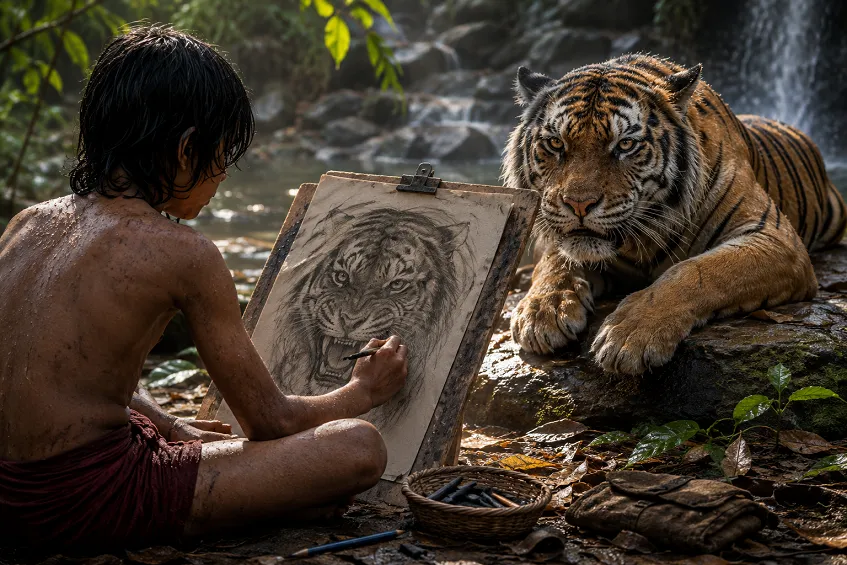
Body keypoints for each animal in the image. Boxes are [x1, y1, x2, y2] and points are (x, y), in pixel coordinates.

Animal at [502, 53, 847, 376]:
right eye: (555, 143)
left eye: (625, 145)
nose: (578, 204)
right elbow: (553, 260)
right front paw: (543, 310)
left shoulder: (775, 238)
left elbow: (698, 271)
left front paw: (629, 334)